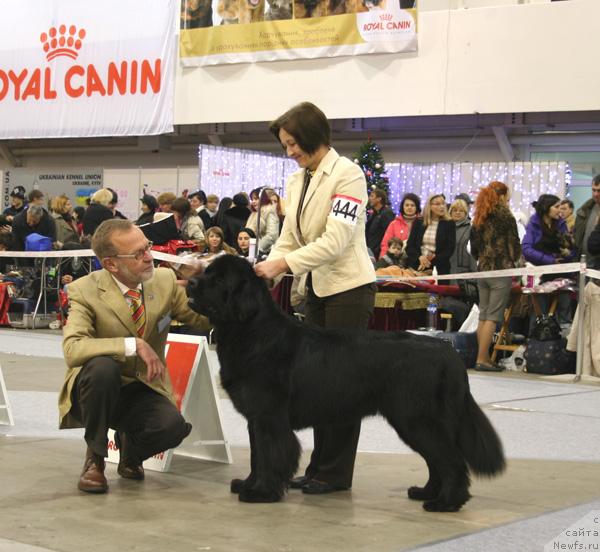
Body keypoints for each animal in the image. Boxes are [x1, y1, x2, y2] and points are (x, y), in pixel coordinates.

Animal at [189, 256, 506, 512]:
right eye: (207, 271)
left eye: (219, 279)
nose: (190, 281)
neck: (252, 330)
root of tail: (447, 352)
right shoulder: (255, 418)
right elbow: (257, 456)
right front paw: (247, 484)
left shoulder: (269, 417)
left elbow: (271, 454)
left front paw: (261, 493)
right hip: (414, 422)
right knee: (437, 460)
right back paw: (426, 492)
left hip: (417, 419)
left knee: (451, 461)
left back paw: (446, 502)